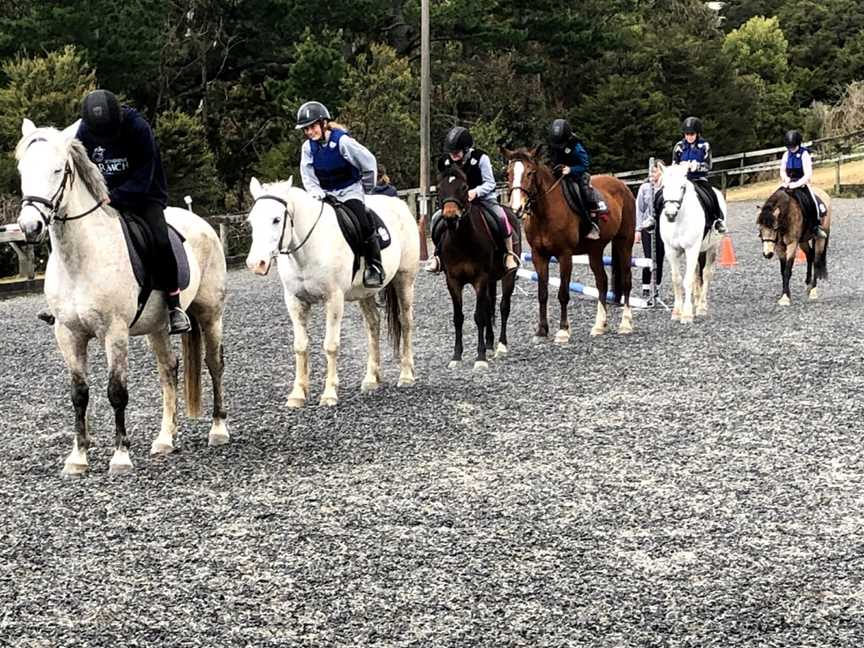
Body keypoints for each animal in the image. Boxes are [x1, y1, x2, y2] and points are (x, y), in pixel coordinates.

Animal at [16, 120, 230, 476]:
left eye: (58, 169)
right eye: (22, 169)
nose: (30, 226)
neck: (80, 258)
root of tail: (200, 222)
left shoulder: (114, 332)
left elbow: (116, 391)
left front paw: (120, 456)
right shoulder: (68, 335)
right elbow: (79, 394)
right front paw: (78, 458)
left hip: (210, 313)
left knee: (214, 364)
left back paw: (218, 429)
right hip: (158, 326)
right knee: (168, 369)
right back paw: (165, 439)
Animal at [245, 177, 420, 408]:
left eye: (276, 219)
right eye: (251, 221)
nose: (256, 264)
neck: (308, 248)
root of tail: (399, 204)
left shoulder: (334, 299)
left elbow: (330, 345)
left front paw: (329, 394)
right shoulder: (294, 301)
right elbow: (300, 346)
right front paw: (297, 394)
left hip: (404, 280)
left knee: (406, 322)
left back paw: (406, 375)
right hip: (366, 292)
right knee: (373, 325)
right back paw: (371, 379)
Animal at [436, 163, 516, 370]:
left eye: (464, 188)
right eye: (439, 188)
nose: (450, 217)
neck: (462, 240)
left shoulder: (480, 278)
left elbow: (479, 316)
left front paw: (480, 358)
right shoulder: (453, 281)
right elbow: (459, 317)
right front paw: (456, 356)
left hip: (508, 276)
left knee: (504, 307)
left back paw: (501, 346)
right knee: (489, 307)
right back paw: (489, 343)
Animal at [502, 146, 636, 340]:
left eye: (530, 172)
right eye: (508, 173)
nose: (516, 208)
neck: (545, 213)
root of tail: (622, 185)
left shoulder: (564, 255)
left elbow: (563, 293)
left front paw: (563, 330)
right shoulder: (538, 256)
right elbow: (542, 294)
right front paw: (541, 330)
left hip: (624, 242)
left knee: (626, 280)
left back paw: (625, 324)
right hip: (595, 251)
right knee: (601, 282)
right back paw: (599, 325)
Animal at [660, 163, 724, 322]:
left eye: (682, 187)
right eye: (663, 186)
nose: (670, 214)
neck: (679, 220)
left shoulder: (691, 249)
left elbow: (687, 280)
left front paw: (687, 314)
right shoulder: (671, 251)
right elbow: (677, 280)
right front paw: (677, 312)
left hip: (712, 248)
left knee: (706, 274)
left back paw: (701, 307)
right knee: (697, 274)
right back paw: (696, 302)